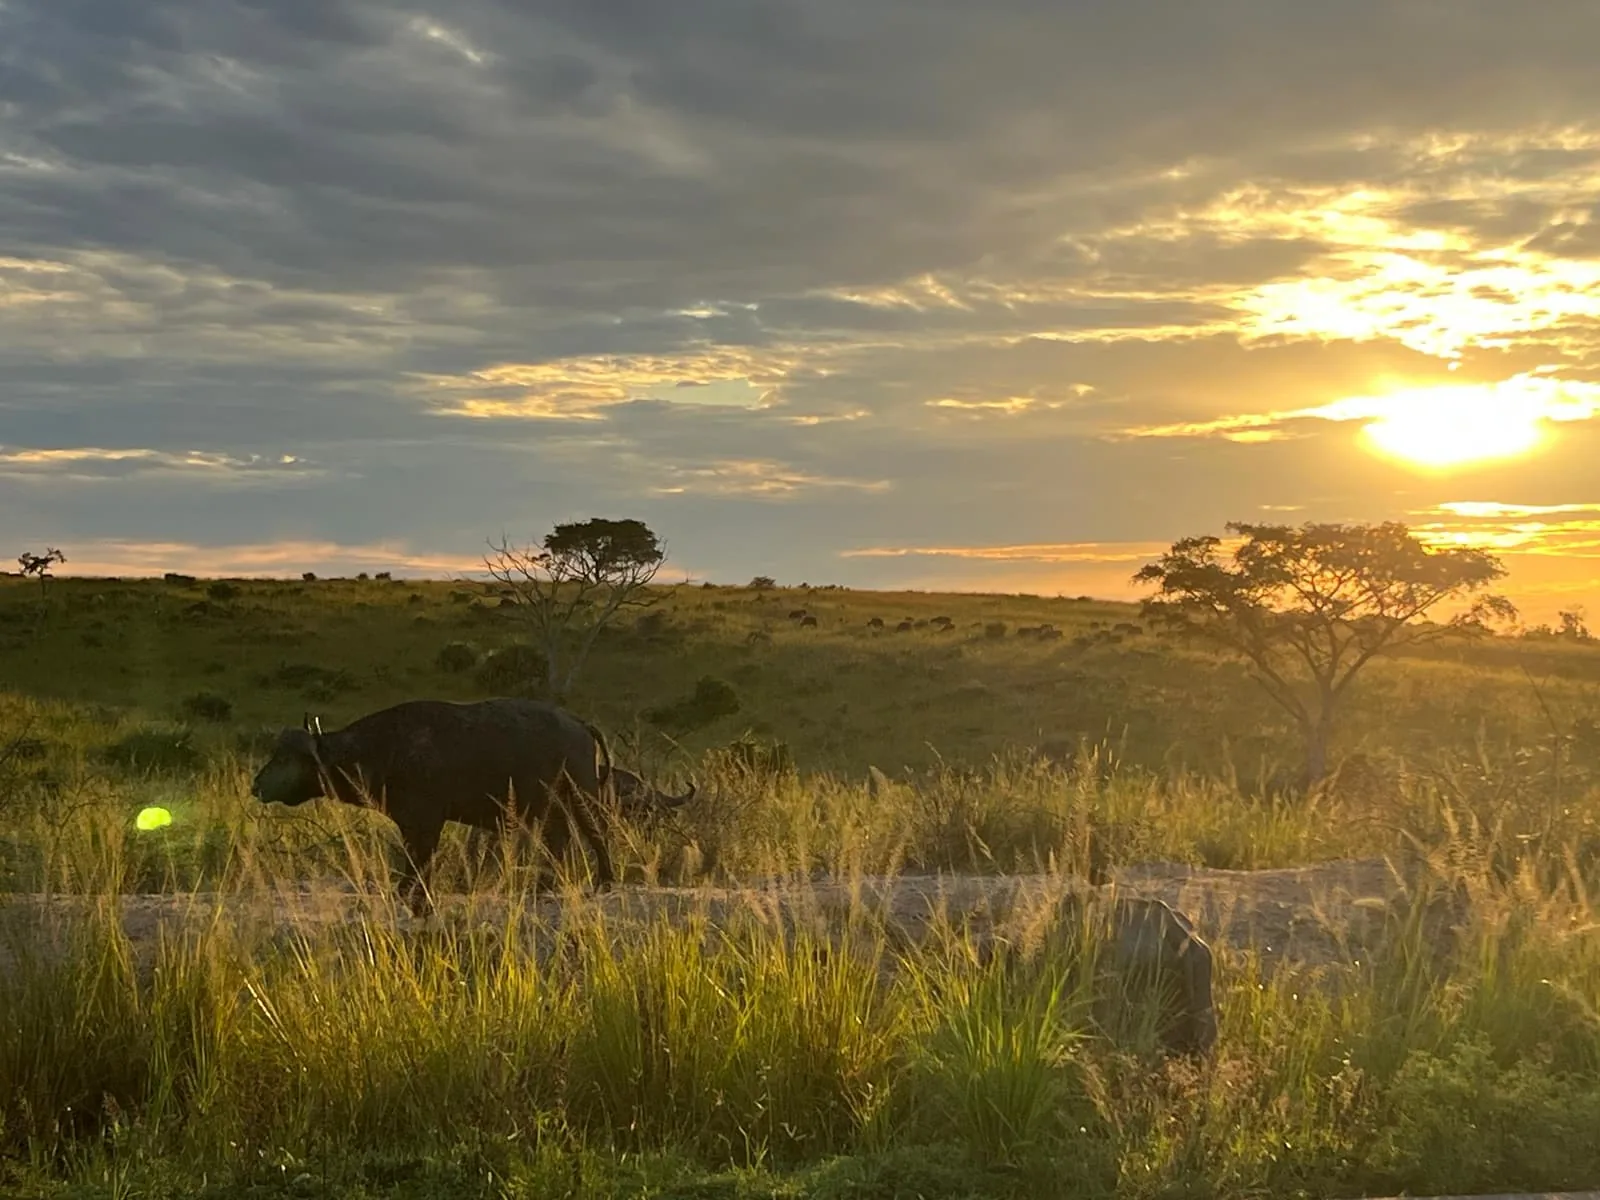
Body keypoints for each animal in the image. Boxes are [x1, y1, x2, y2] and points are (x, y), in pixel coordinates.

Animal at [250, 697, 677, 915]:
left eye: (287, 756)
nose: (256, 785)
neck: (383, 749)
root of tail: (578, 723)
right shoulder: (414, 825)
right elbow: (416, 863)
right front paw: (414, 897)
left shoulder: (424, 822)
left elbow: (417, 863)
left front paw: (415, 899)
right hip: (552, 806)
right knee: (560, 841)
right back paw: (544, 886)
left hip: (580, 796)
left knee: (594, 834)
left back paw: (602, 881)